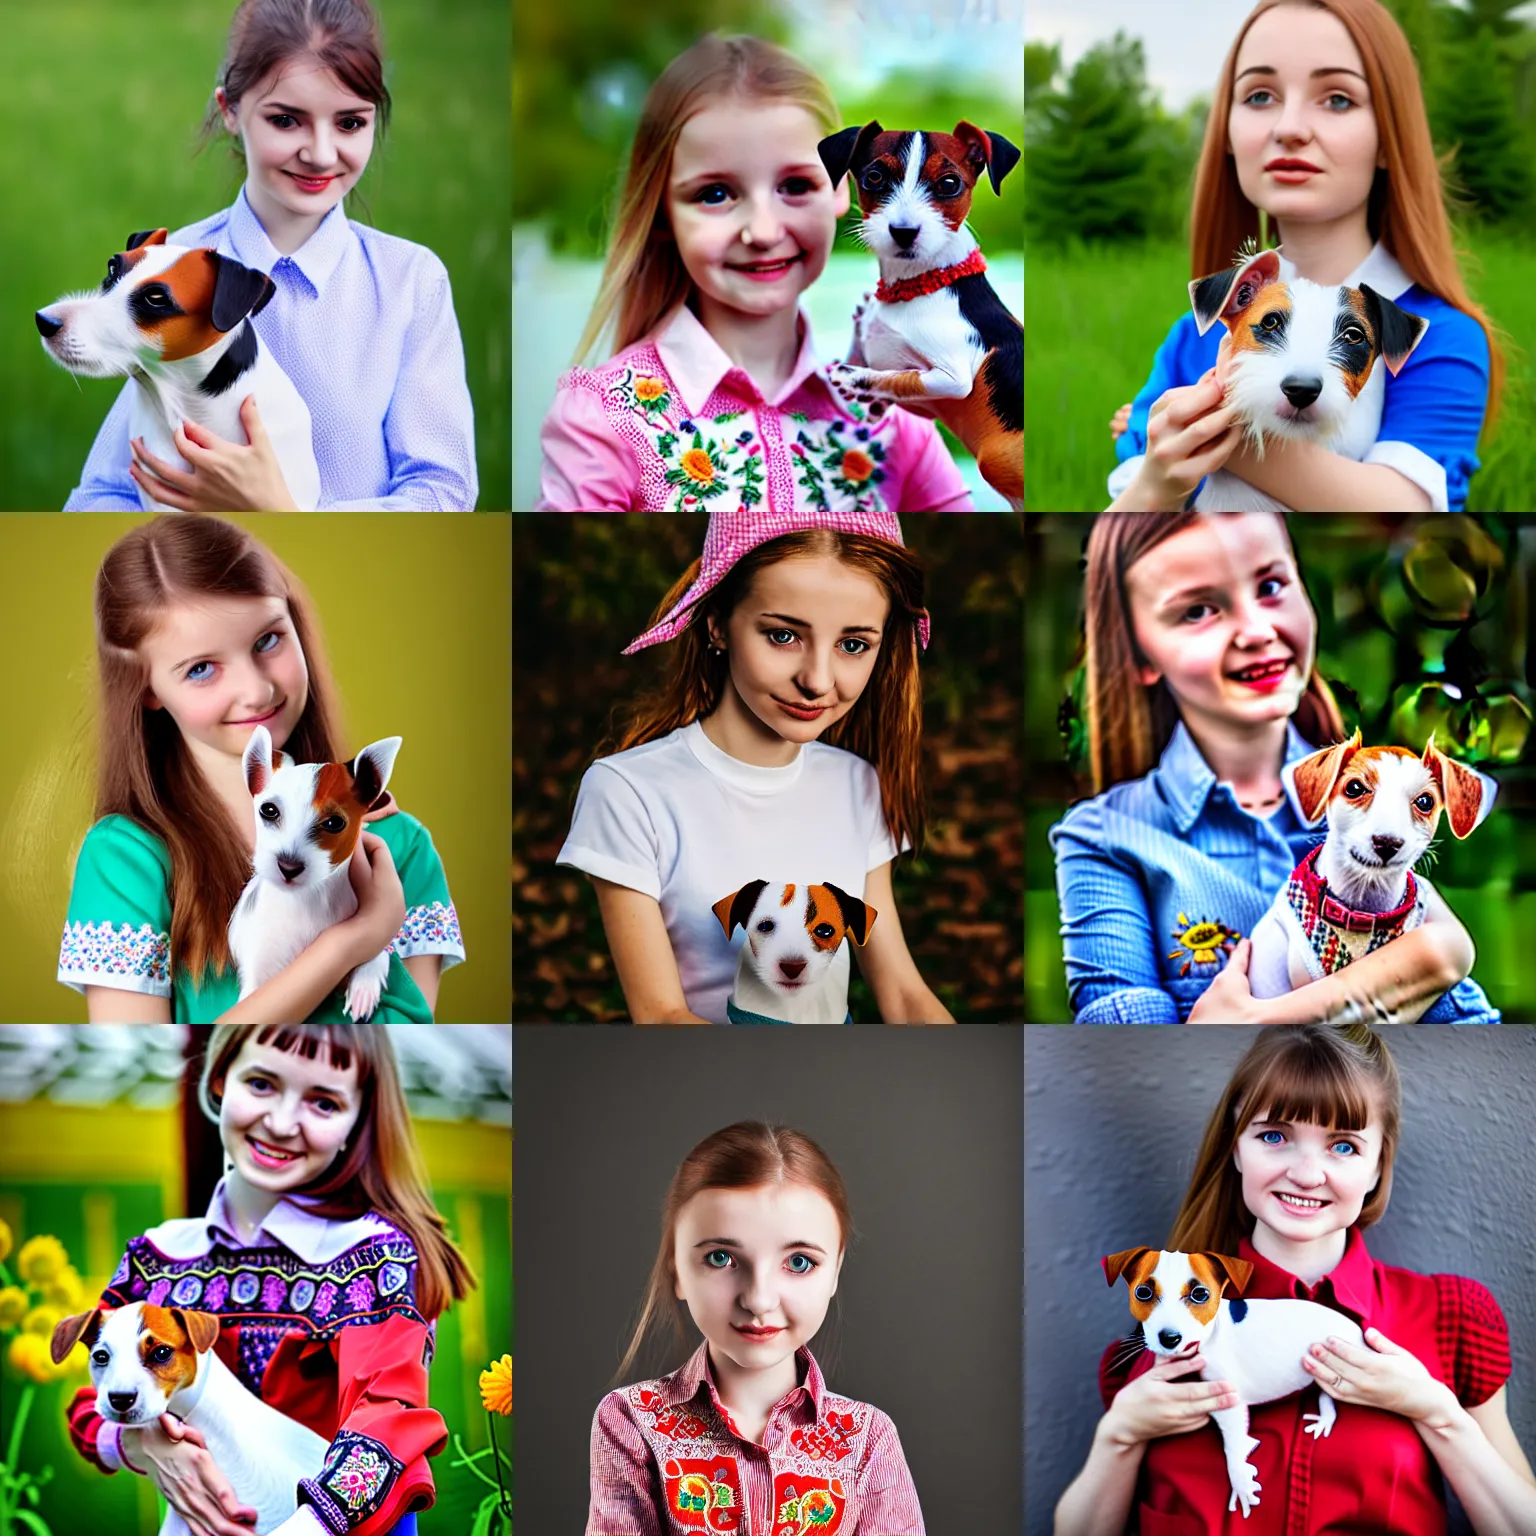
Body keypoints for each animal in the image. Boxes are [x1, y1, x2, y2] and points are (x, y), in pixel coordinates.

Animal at [228, 721, 402, 1019]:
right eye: (268, 810)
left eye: (334, 823)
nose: (288, 867)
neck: (304, 900)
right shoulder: (258, 980)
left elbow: (378, 952)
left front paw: (364, 986)